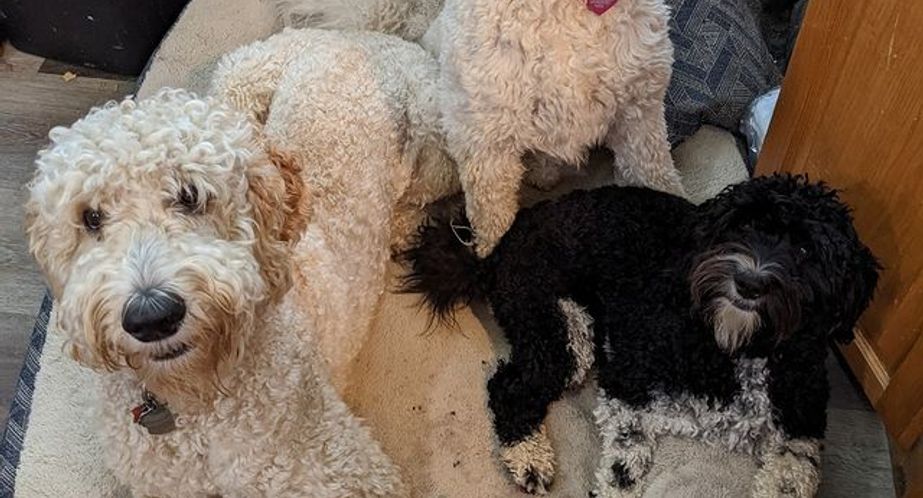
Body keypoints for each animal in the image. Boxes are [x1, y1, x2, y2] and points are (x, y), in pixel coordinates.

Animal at [401, 174, 880, 496]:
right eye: (744, 226)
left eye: (805, 249)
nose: (749, 282)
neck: (735, 346)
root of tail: (497, 246)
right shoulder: (629, 375)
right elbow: (626, 459)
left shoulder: (802, 420)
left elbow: (797, 473)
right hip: (560, 324)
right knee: (509, 387)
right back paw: (528, 458)